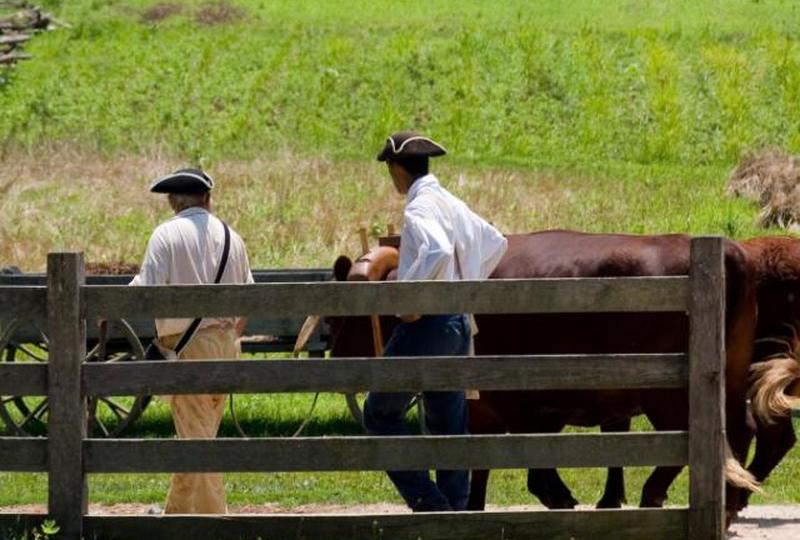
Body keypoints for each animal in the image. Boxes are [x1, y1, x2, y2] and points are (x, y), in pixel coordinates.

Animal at [324, 230, 760, 521]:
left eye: (345, 316)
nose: (335, 356)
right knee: (739, 432)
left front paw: (560, 496)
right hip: (731, 379)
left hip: (668, 395)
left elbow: (534, 461)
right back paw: (729, 505)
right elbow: (478, 464)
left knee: (697, 439)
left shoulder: (520, 402)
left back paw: (658, 494)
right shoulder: (486, 413)